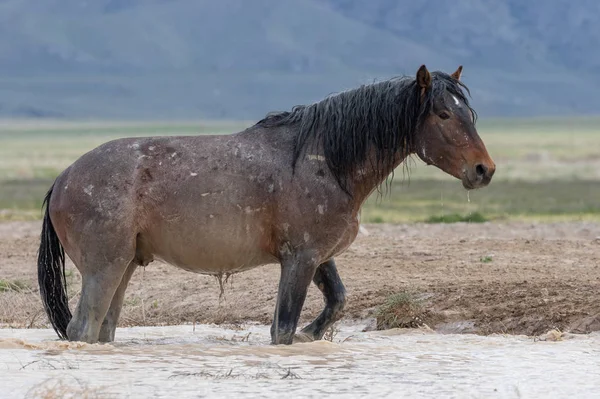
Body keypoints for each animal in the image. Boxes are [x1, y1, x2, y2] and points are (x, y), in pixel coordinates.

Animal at [38, 65, 496, 344]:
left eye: (468, 113)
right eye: (442, 114)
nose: (483, 170)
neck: (325, 161)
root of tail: (62, 178)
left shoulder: (318, 256)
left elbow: (337, 300)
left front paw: (313, 334)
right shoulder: (299, 259)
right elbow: (283, 328)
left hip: (125, 266)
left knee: (103, 330)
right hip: (104, 268)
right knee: (83, 328)